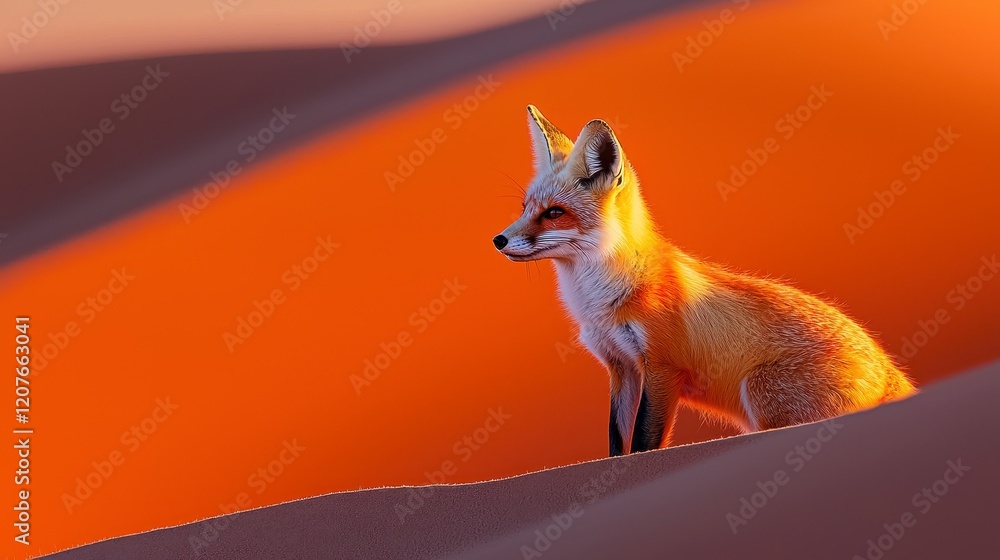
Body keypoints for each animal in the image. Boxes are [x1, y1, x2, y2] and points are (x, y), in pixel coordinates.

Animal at [493, 105, 917, 457]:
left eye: (554, 213)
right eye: (526, 208)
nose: (498, 240)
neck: (600, 300)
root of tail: (889, 370)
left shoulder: (663, 368)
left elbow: (644, 443)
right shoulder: (621, 367)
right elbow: (617, 444)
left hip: (759, 390)